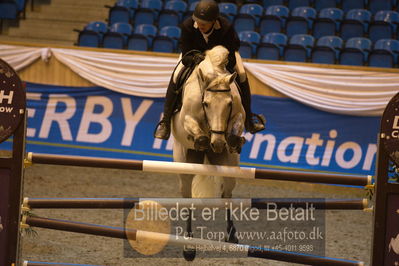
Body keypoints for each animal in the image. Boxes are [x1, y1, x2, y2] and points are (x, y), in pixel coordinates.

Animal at [170, 45, 245, 260]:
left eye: (229, 104)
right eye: (206, 104)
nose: (218, 143)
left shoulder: (238, 113)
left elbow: (237, 123)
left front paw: (234, 141)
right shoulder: (186, 119)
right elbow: (197, 133)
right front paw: (202, 142)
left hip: (230, 169)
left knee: (226, 194)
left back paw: (231, 235)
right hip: (183, 170)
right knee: (187, 199)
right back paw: (188, 246)